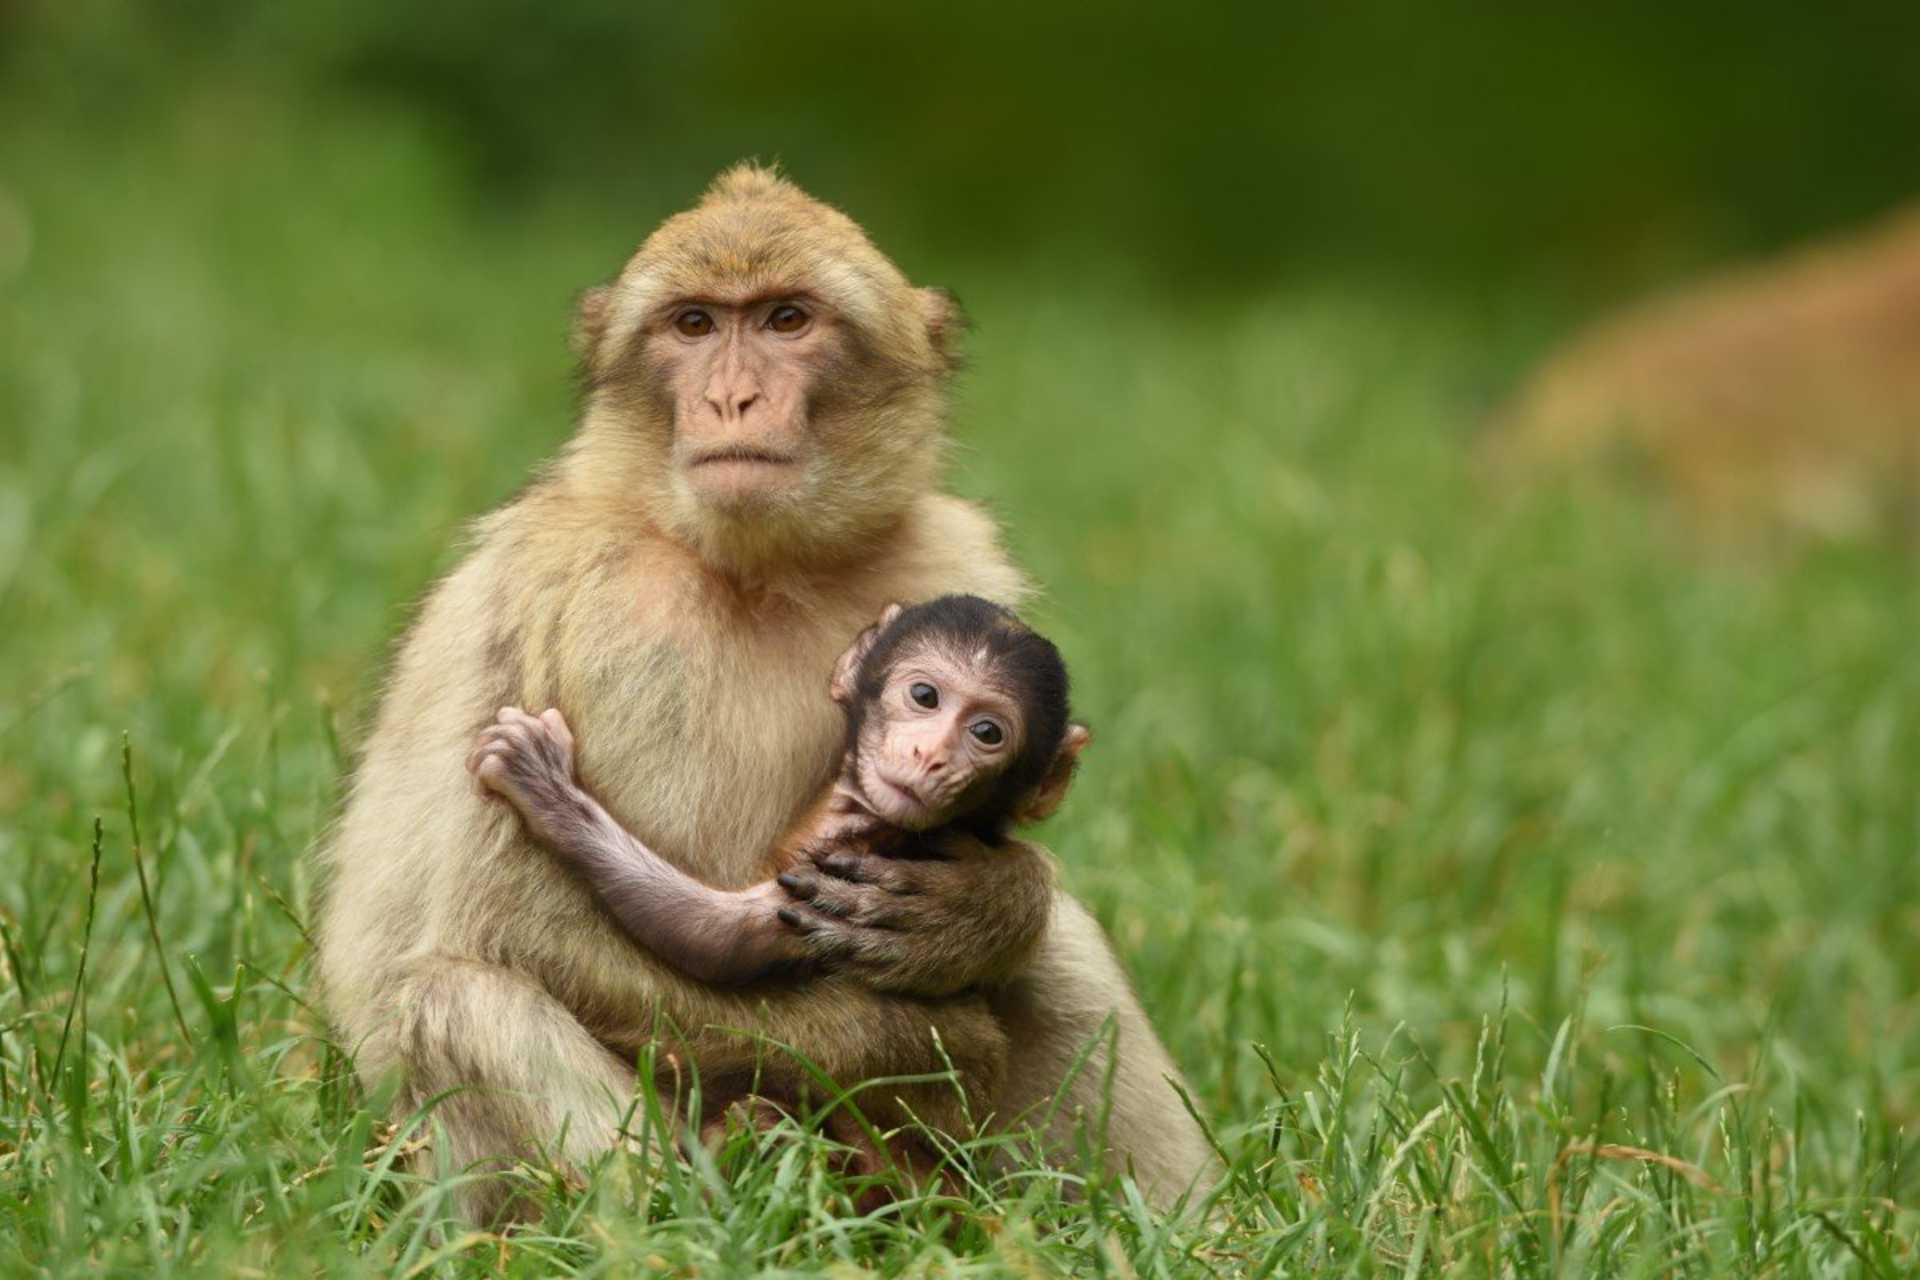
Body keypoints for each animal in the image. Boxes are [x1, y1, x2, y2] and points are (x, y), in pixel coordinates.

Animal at [467, 595, 1091, 997]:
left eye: (987, 732)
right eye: (924, 696)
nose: (930, 754)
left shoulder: (856, 852)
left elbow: (719, 939)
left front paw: (547, 789)